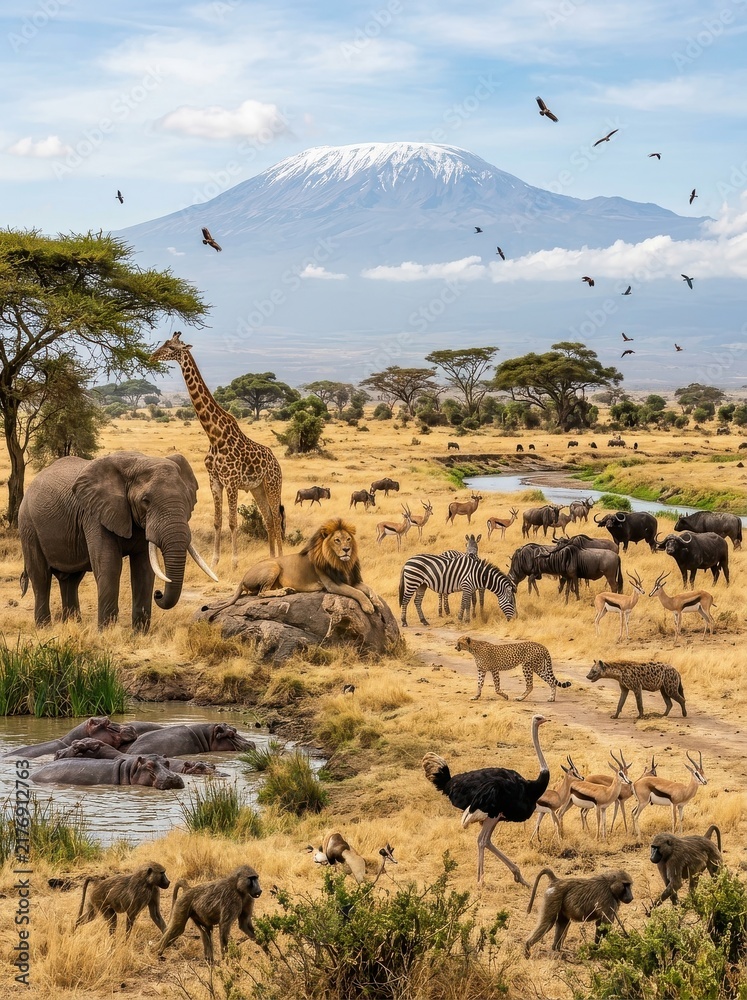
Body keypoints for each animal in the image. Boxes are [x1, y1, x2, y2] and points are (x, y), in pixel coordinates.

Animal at [18, 451, 217, 631]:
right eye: (145, 501)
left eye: (187, 499)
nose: (158, 594)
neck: (137, 462)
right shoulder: (94, 514)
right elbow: (109, 566)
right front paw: (106, 633)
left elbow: (144, 570)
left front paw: (139, 634)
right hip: (28, 525)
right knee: (41, 577)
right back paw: (44, 629)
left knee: (71, 580)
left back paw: (74, 626)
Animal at [206, 518, 383, 620]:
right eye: (337, 540)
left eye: (348, 539)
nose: (347, 550)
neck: (342, 563)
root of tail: (243, 577)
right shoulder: (332, 585)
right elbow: (357, 592)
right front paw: (368, 606)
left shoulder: (351, 579)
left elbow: (369, 588)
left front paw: (377, 602)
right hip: (273, 565)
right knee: (261, 593)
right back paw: (283, 592)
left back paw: (287, 590)